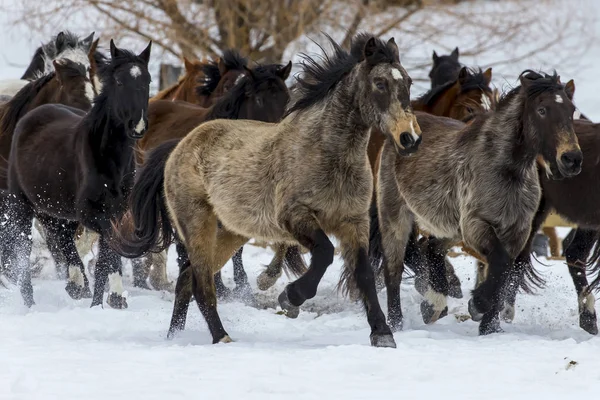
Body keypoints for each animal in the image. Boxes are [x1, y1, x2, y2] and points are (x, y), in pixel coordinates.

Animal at [5, 40, 151, 308]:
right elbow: (108, 251)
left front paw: (108, 299)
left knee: (61, 236)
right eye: (119, 81)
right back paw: (31, 300)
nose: (137, 127)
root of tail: (31, 115)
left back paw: (77, 285)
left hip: (56, 208)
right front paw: (111, 296)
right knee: (25, 248)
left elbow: (105, 257)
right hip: (22, 205)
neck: (108, 158)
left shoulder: (116, 211)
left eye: (147, 80)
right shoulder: (91, 212)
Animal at [112, 33, 422, 346]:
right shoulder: (294, 217)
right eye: (380, 83)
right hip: (198, 225)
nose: (410, 138)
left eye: (408, 82)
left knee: (187, 280)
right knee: (201, 284)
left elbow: (364, 274)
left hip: (229, 232)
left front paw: (382, 333)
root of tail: (180, 146)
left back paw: (175, 336)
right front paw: (291, 297)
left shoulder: (353, 222)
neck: (325, 153)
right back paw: (221, 337)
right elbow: (324, 253)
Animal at [376, 70, 580, 332]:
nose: (571, 159)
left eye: (571, 110)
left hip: (450, 227)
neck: (506, 170)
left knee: (431, 248)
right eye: (542, 110)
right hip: (396, 218)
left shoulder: (517, 232)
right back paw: (396, 324)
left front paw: (489, 327)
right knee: (394, 270)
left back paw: (433, 305)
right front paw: (479, 304)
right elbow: (500, 263)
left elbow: (505, 269)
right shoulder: (477, 225)